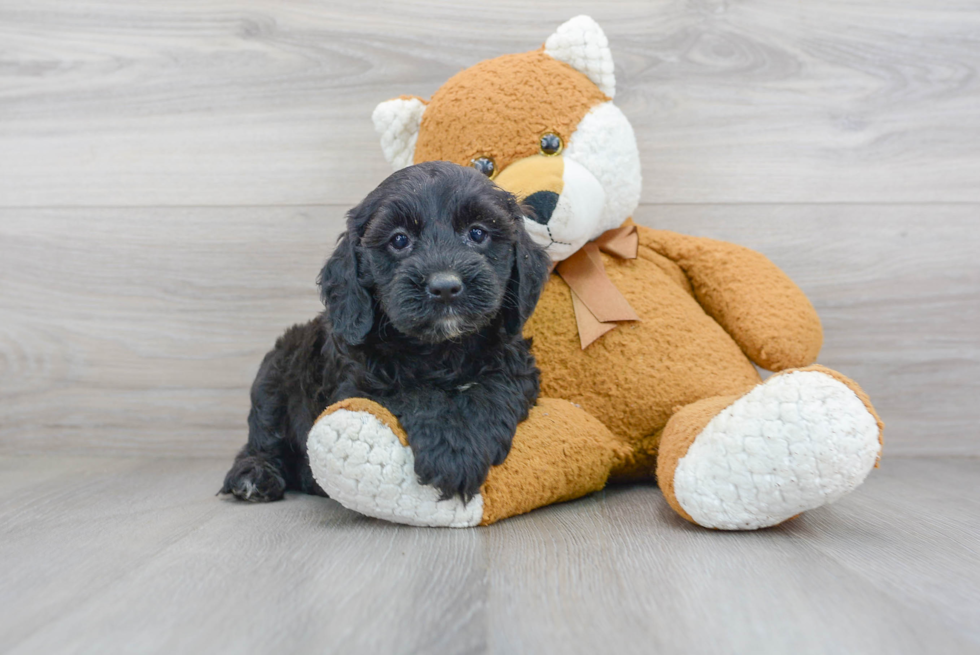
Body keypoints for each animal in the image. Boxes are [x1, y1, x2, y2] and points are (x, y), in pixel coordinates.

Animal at [219, 161, 552, 504]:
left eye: (478, 233)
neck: (441, 349)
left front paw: (462, 448)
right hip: (274, 374)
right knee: (263, 436)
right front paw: (451, 451)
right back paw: (254, 475)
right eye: (399, 240)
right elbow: (414, 394)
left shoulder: (515, 363)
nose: (445, 286)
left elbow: (492, 389)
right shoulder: (359, 384)